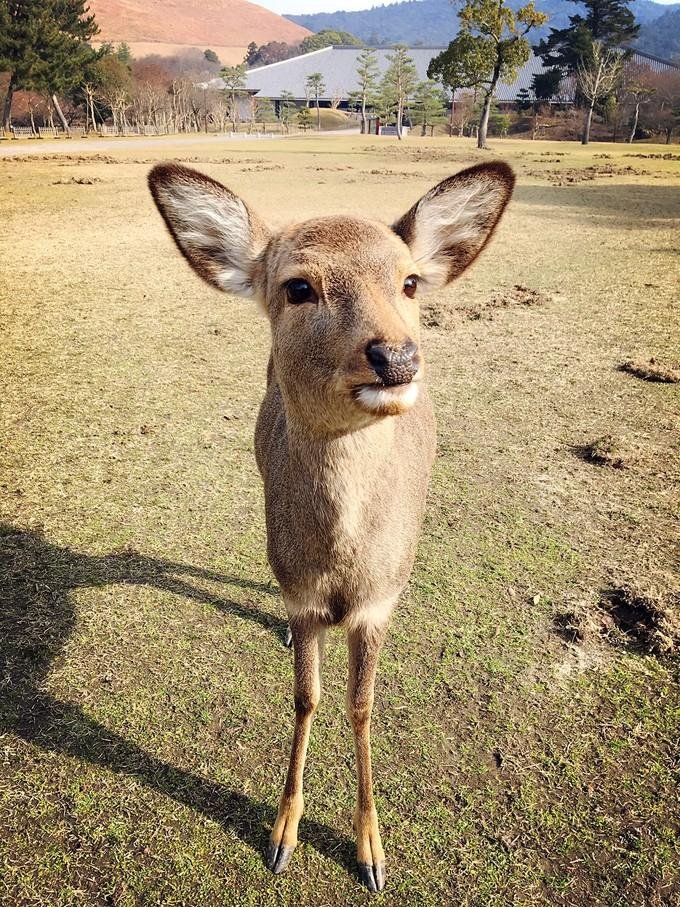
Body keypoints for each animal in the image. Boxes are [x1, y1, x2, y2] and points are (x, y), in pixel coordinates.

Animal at [146, 158, 512, 892]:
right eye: (298, 286)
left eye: (408, 280)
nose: (396, 358)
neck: (343, 569)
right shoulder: (302, 594)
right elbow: (306, 699)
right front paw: (282, 835)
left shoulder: (380, 602)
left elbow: (361, 704)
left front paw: (372, 851)